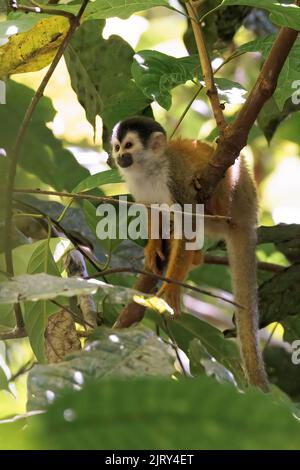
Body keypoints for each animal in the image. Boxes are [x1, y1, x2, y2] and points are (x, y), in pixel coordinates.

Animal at [111, 115, 268, 392]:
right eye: (117, 146)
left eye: (128, 145)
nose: (119, 156)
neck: (150, 169)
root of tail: (249, 215)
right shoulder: (138, 186)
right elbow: (152, 211)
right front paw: (153, 246)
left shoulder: (175, 176)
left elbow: (188, 223)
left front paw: (172, 289)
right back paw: (196, 258)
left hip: (233, 199)